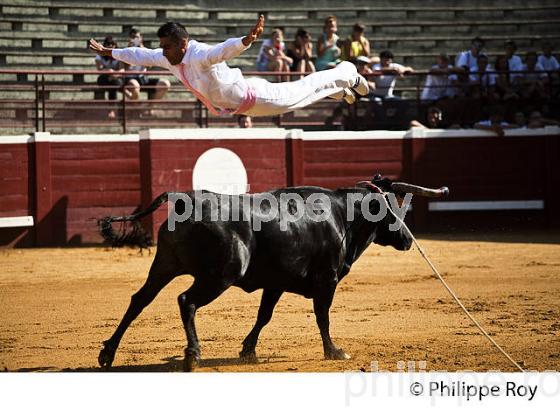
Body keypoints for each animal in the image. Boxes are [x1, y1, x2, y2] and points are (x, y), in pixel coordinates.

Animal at [96, 179, 446, 372]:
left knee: (139, 300)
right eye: (392, 208)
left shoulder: (276, 283)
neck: (343, 217)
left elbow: (264, 315)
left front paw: (248, 351)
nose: (408, 240)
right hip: (219, 276)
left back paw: (107, 353)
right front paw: (333, 351)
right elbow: (322, 317)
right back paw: (193, 354)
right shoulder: (327, 279)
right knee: (186, 301)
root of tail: (188, 199)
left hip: (165, 265)